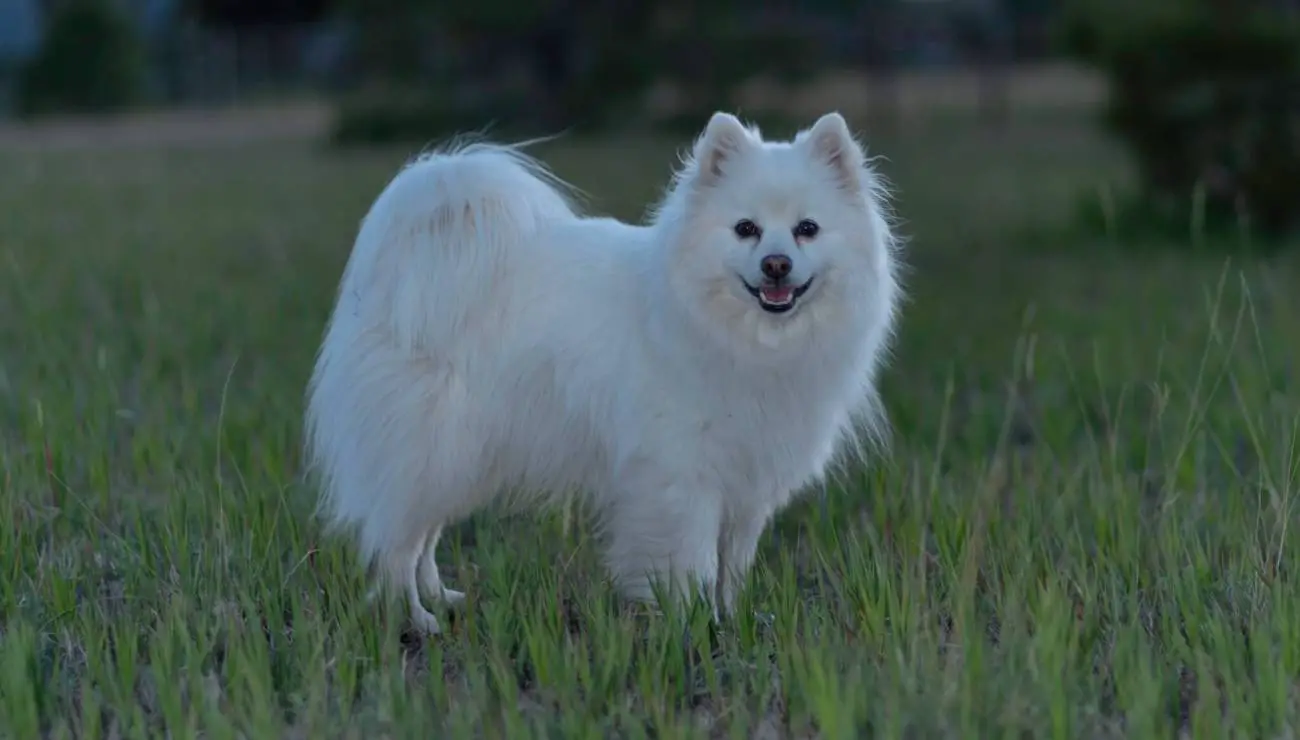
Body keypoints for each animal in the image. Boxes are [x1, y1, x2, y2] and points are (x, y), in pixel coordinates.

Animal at [304, 112, 899, 632]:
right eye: (746, 229)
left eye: (807, 229)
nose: (777, 264)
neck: (744, 340)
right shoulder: (683, 478)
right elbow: (694, 564)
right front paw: (693, 626)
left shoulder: (748, 482)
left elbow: (732, 567)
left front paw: (734, 621)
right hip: (432, 448)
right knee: (396, 545)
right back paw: (414, 619)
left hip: (456, 457)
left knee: (421, 535)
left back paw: (441, 597)